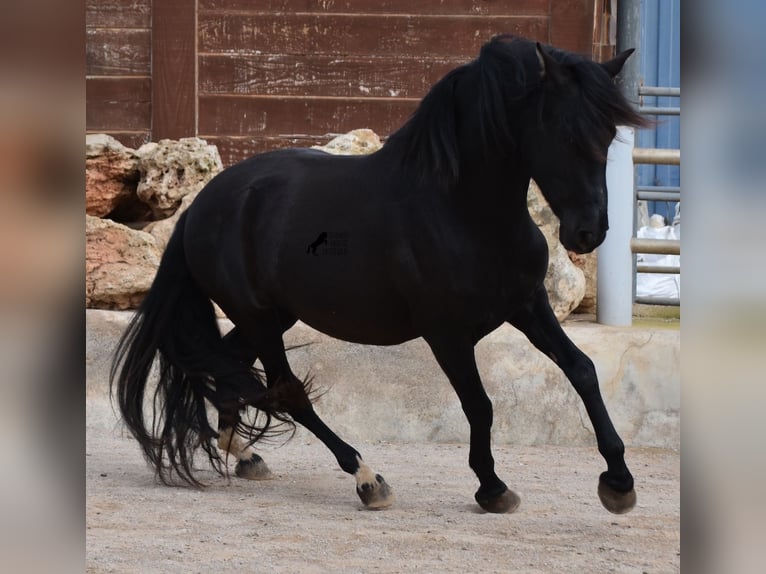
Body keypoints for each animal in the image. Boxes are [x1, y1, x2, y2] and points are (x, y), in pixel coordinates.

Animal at [109, 35, 648, 512]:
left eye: (607, 136)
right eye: (566, 134)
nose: (588, 233)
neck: (461, 212)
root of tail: (201, 206)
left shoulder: (527, 304)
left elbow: (582, 370)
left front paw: (619, 483)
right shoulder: (447, 334)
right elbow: (480, 405)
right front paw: (493, 488)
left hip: (274, 316)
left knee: (228, 366)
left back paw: (246, 455)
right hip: (260, 318)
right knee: (286, 391)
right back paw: (367, 479)